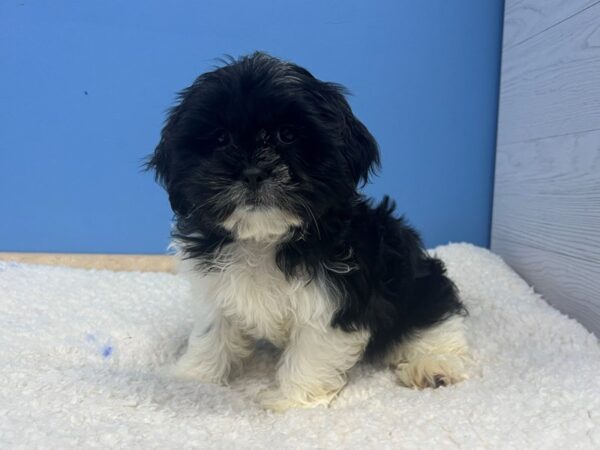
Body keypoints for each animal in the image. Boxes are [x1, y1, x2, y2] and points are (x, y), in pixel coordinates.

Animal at [149, 52, 468, 412]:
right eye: (221, 139)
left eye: (287, 135)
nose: (253, 172)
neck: (263, 239)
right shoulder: (215, 286)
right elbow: (211, 331)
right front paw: (192, 378)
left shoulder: (334, 297)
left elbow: (311, 352)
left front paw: (290, 402)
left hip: (413, 278)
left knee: (434, 315)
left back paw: (435, 364)